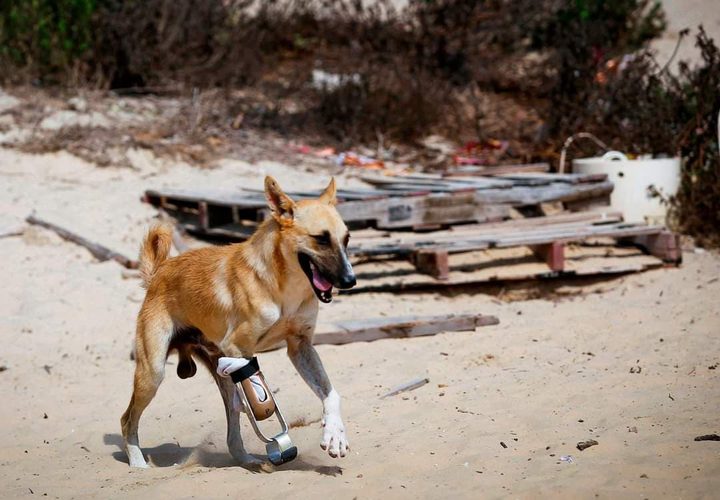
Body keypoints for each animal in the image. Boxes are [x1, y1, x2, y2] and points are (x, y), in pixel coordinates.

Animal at [122, 177, 356, 468]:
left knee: (233, 428)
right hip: (153, 373)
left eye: (347, 239)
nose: (350, 281)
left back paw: (249, 460)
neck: (284, 285)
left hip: (218, 373)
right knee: (127, 419)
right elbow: (253, 396)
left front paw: (335, 434)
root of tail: (157, 274)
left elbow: (330, 393)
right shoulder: (237, 347)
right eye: (321, 239)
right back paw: (138, 464)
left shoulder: (300, 346)